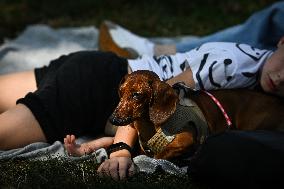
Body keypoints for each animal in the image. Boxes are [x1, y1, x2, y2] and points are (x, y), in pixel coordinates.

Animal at [109, 70, 284, 162]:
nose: (113, 119)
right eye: (121, 92)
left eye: (136, 95)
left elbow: (159, 155)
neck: (149, 127)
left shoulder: (185, 140)